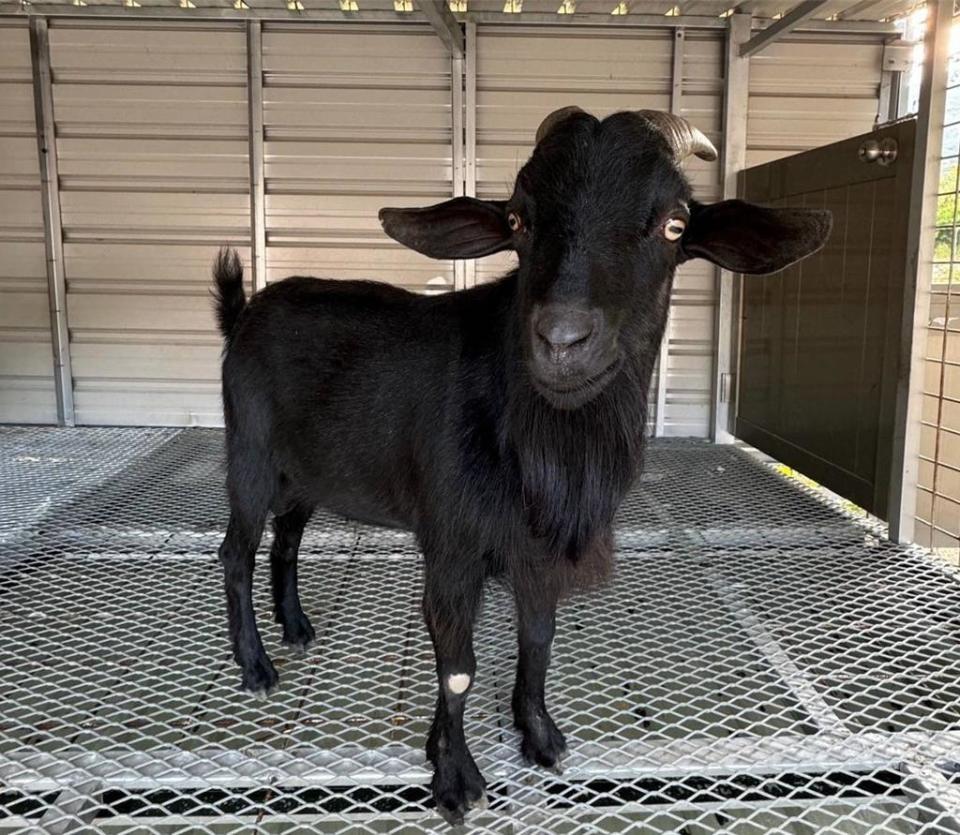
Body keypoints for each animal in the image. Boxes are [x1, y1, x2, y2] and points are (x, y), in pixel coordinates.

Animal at [214, 106, 828, 828]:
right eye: (517, 220)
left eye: (675, 224)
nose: (562, 341)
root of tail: (242, 313)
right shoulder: (451, 540)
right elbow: (457, 666)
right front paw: (455, 780)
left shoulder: (536, 550)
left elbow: (538, 637)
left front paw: (537, 734)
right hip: (249, 451)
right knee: (237, 550)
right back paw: (256, 666)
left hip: (306, 473)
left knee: (286, 537)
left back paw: (296, 627)